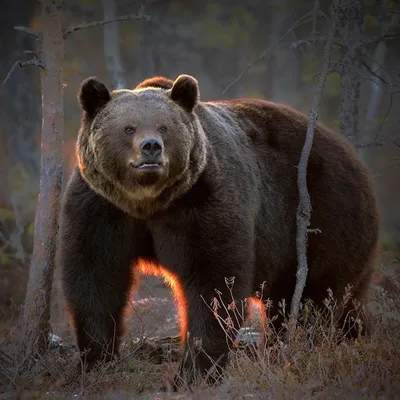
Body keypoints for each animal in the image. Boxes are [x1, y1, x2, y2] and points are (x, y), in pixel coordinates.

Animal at [57, 73, 380, 386]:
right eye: (128, 128)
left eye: (164, 127)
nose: (151, 147)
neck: (148, 201)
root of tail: (355, 159)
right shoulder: (102, 207)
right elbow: (95, 275)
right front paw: (96, 359)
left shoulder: (204, 201)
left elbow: (213, 283)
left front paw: (193, 372)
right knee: (327, 301)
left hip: (325, 217)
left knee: (313, 300)